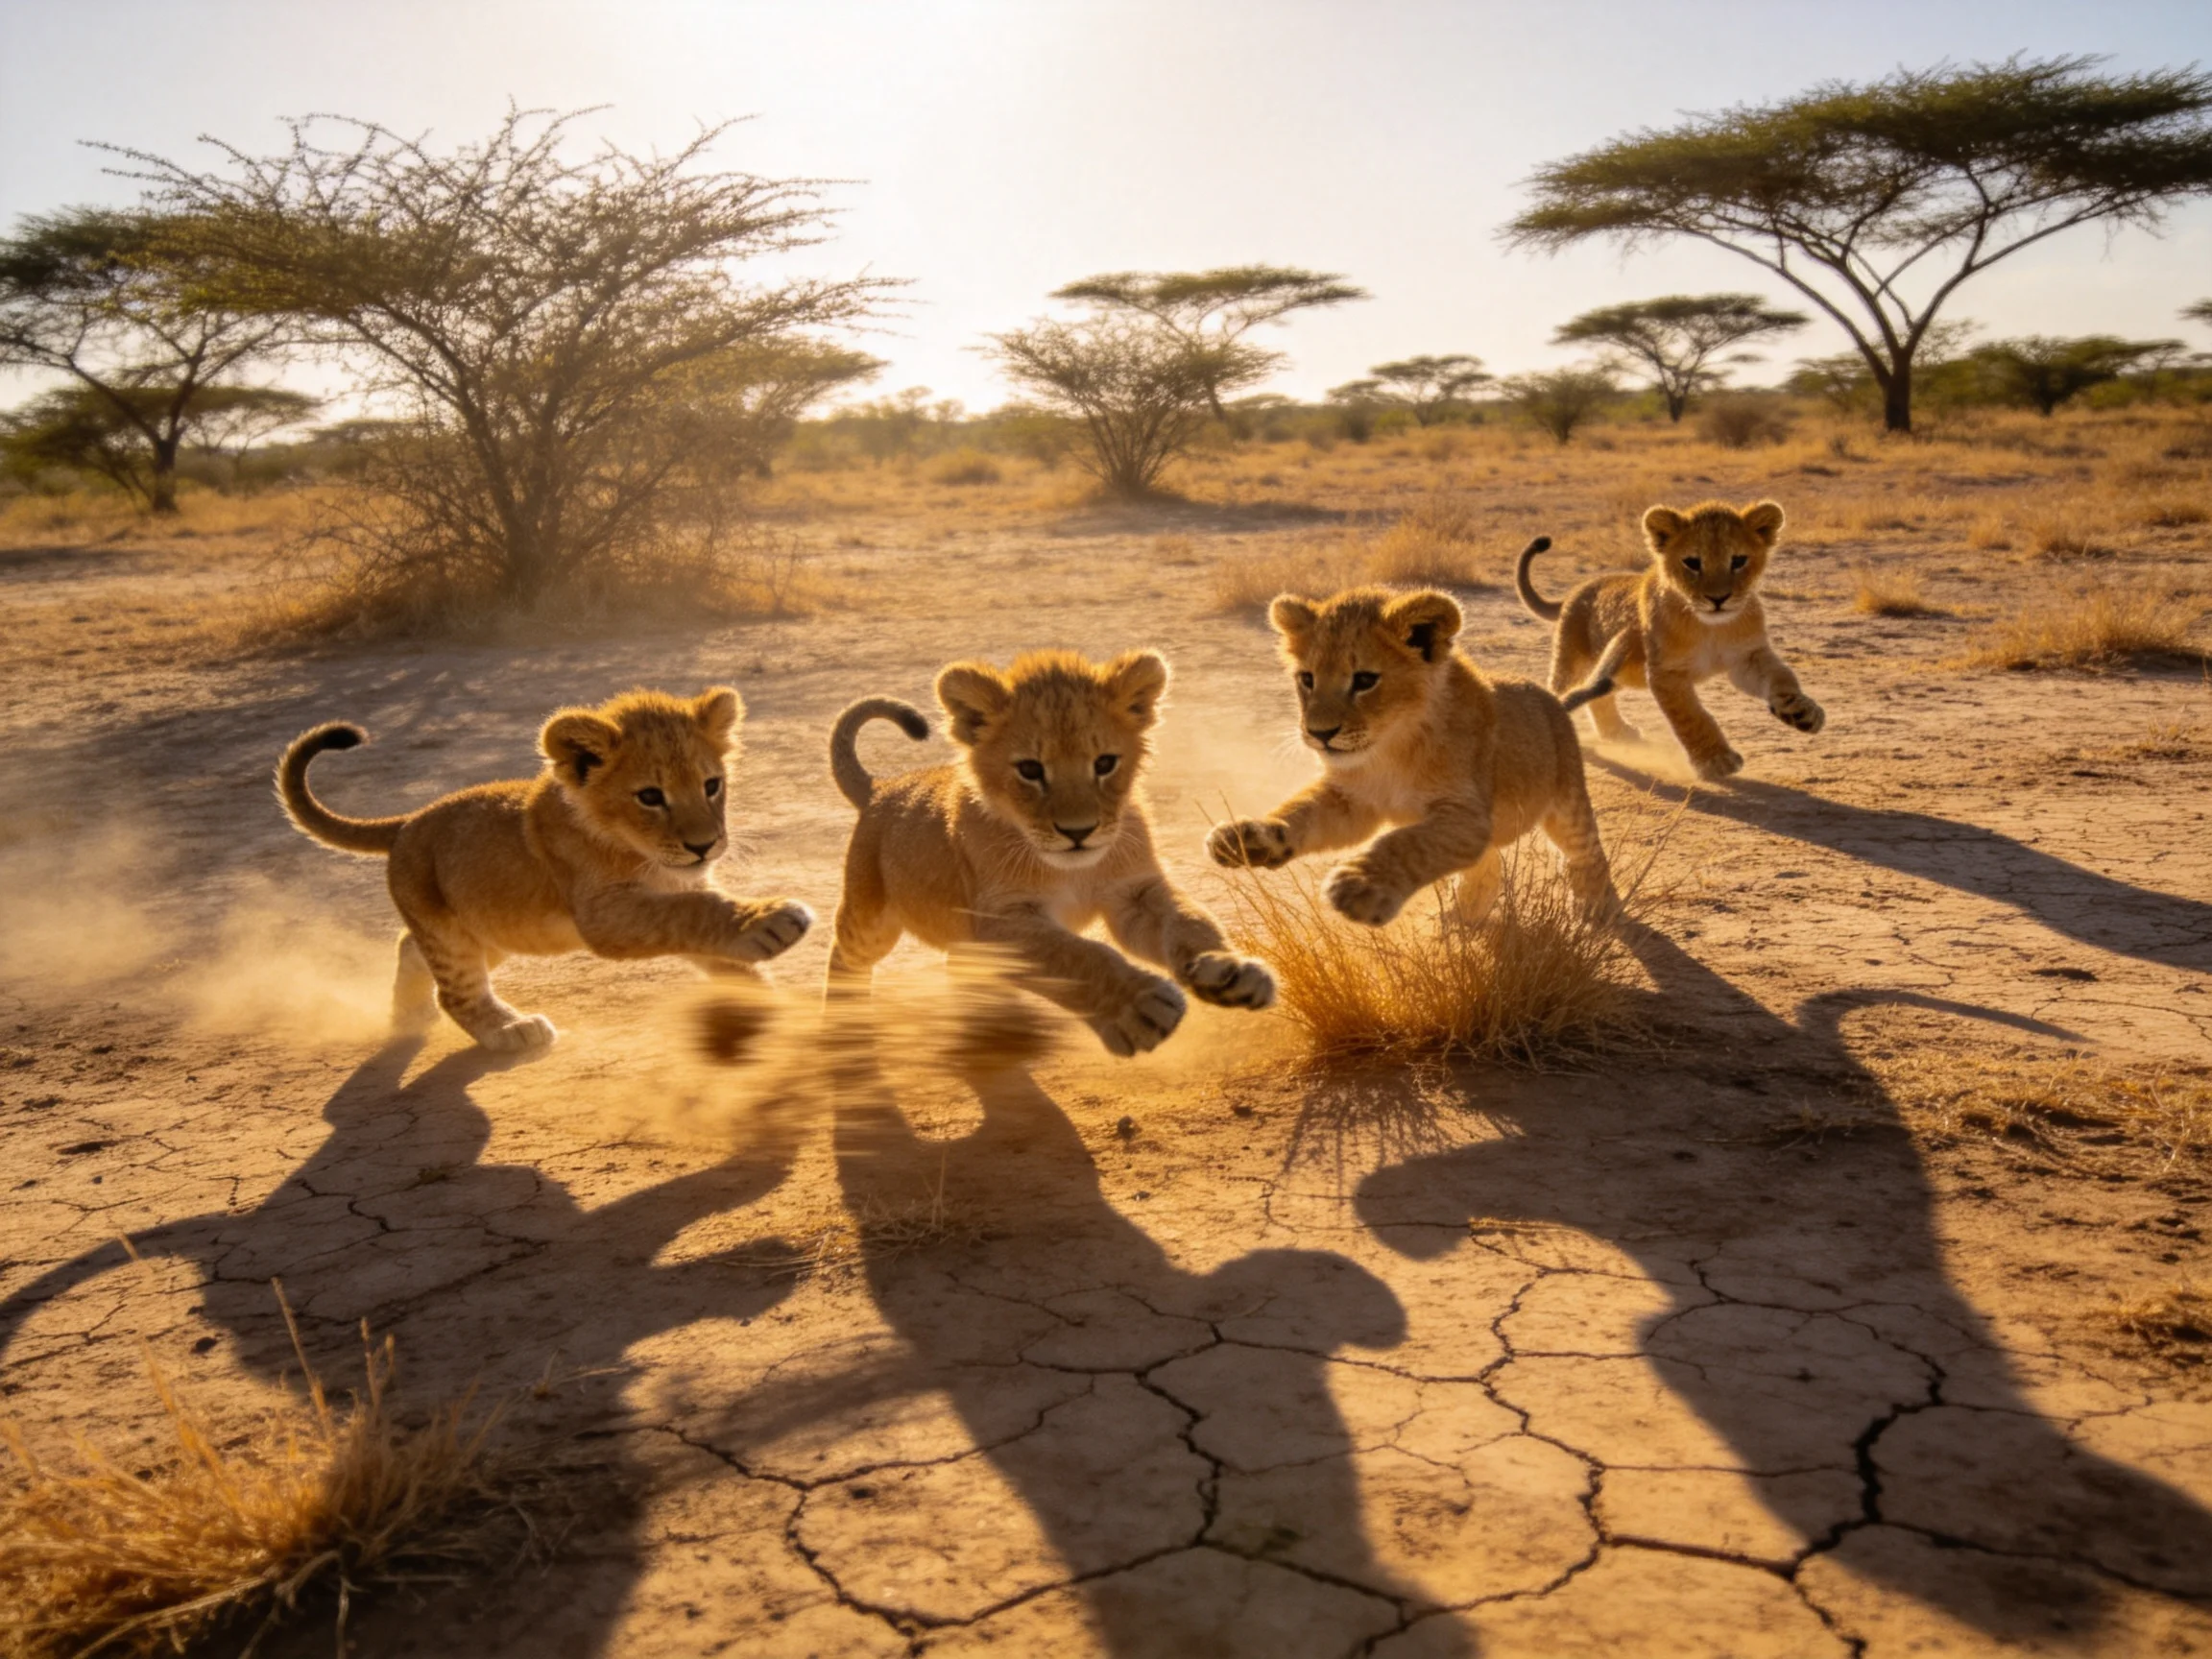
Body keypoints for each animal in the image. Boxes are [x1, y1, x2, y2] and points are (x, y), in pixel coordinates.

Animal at [276, 687, 812, 1052]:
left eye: (712, 785)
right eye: (650, 796)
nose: (704, 846)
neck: (640, 849)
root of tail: (407, 821)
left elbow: (714, 944)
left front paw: (768, 1005)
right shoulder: (604, 917)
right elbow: (696, 910)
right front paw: (769, 922)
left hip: (490, 930)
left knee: (410, 946)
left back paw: (408, 1015)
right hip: (456, 935)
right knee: (456, 991)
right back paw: (511, 1029)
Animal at [827, 649, 1275, 1056]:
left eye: (1105, 763)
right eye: (1030, 769)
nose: (1079, 832)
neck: (1072, 870)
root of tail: (880, 787)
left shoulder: (1134, 892)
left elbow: (1190, 923)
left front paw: (1230, 972)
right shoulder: (1002, 921)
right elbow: (1078, 955)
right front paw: (1139, 1009)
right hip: (870, 921)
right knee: (845, 955)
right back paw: (844, 1030)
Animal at [1207, 586, 1614, 929]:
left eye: (1364, 680)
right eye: (1307, 679)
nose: (1320, 734)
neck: (1389, 749)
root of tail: (1551, 697)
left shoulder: (1466, 816)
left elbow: (1408, 842)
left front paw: (1360, 886)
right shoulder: (1352, 800)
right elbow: (1300, 811)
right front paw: (1248, 838)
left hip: (1567, 802)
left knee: (1586, 850)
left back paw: (1595, 908)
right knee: (1488, 867)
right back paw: (1463, 917)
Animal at [1516, 501, 1825, 780]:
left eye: (1738, 561)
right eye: (1692, 562)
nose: (1718, 599)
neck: (1709, 627)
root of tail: (1574, 592)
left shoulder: (1747, 657)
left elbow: (1781, 677)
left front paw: (1803, 711)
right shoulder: (1666, 672)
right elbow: (1691, 716)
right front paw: (1717, 761)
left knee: (1600, 698)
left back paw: (1618, 732)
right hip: (1573, 659)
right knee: (1563, 689)